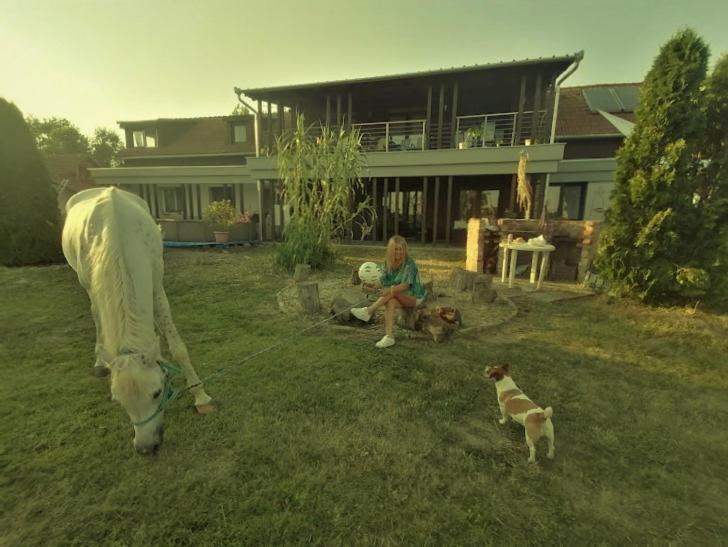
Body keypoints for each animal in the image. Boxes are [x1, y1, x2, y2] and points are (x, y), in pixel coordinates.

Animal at [62, 187, 213, 454]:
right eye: (119, 401)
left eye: (157, 393)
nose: (146, 447)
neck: (119, 239)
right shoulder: (94, 287)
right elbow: (99, 320)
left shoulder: (155, 286)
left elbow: (178, 347)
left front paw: (201, 397)